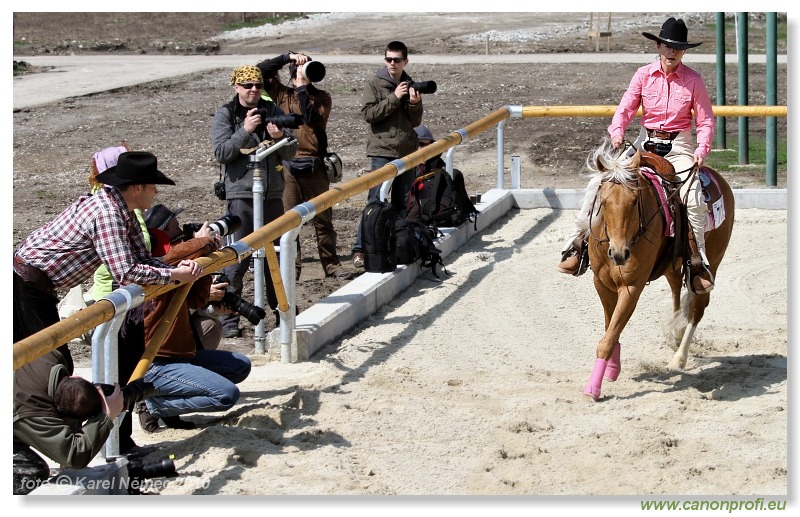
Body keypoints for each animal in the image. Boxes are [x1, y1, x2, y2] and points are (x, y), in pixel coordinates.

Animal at [584, 140, 736, 400]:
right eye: (602, 202)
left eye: (635, 201)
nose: (619, 254)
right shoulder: (601, 283)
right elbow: (610, 329)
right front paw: (612, 368)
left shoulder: (631, 288)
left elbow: (608, 337)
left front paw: (593, 388)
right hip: (672, 266)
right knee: (676, 290)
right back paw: (675, 332)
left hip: (712, 262)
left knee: (697, 308)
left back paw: (678, 359)